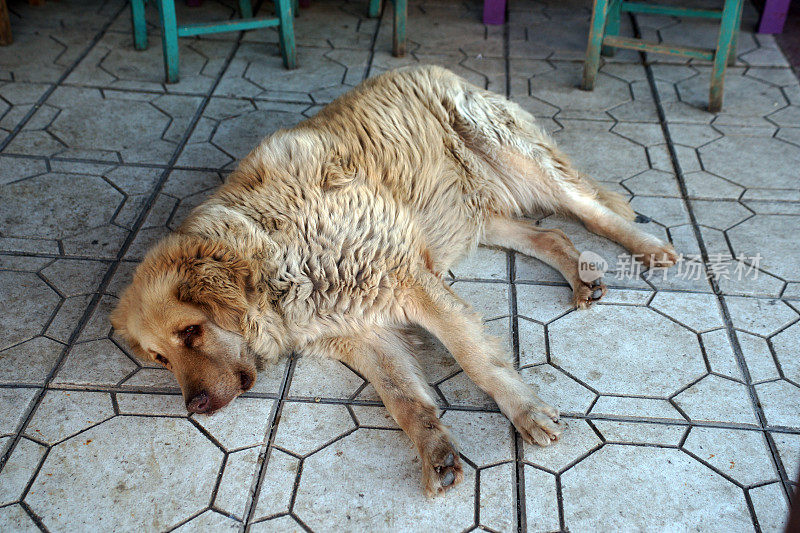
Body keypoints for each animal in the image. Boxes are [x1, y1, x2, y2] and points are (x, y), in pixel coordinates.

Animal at [111, 65, 676, 494]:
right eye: (160, 359)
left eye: (191, 332)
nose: (193, 408)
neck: (274, 259)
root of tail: (433, 66)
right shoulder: (363, 332)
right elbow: (405, 400)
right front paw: (436, 452)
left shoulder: (409, 282)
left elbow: (477, 359)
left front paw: (525, 411)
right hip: (468, 218)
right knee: (552, 234)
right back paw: (582, 276)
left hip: (512, 156)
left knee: (591, 210)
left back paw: (650, 247)